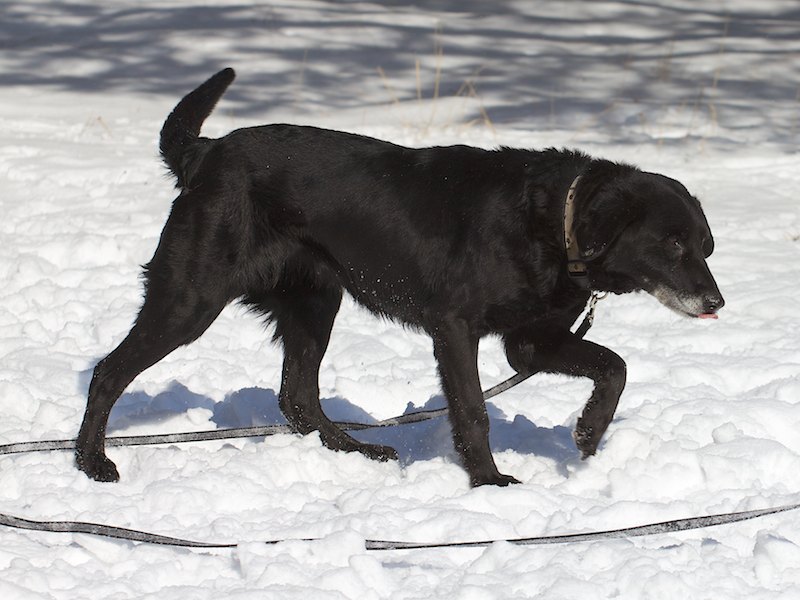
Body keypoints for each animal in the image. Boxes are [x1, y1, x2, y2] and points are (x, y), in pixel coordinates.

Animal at [76, 68, 724, 487]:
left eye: (706, 245)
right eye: (672, 243)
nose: (716, 300)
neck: (551, 222)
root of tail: (204, 153)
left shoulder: (532, 342)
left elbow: (614, 367)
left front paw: (589, 433)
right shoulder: (456, 329)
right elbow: (473, 410)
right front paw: (489, 483)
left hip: (315, 301)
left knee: (298, 397)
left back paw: (355, 451)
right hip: (191, 296)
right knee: (109, 371)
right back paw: (92, 463)